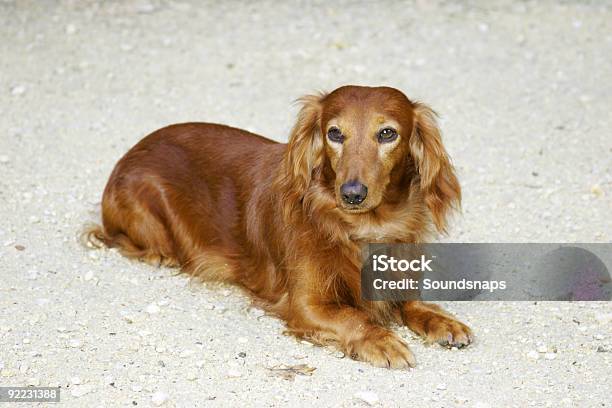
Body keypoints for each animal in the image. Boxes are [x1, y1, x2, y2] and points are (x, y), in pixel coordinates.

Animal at [86, 85, 470, 366]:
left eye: (387, 133)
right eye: (335, 134)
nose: (352, 193)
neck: (361, 228)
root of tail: (132, 150)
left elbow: (415, 304)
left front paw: (442, 321)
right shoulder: (306, 305)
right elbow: (354, 317)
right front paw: (381, 340)